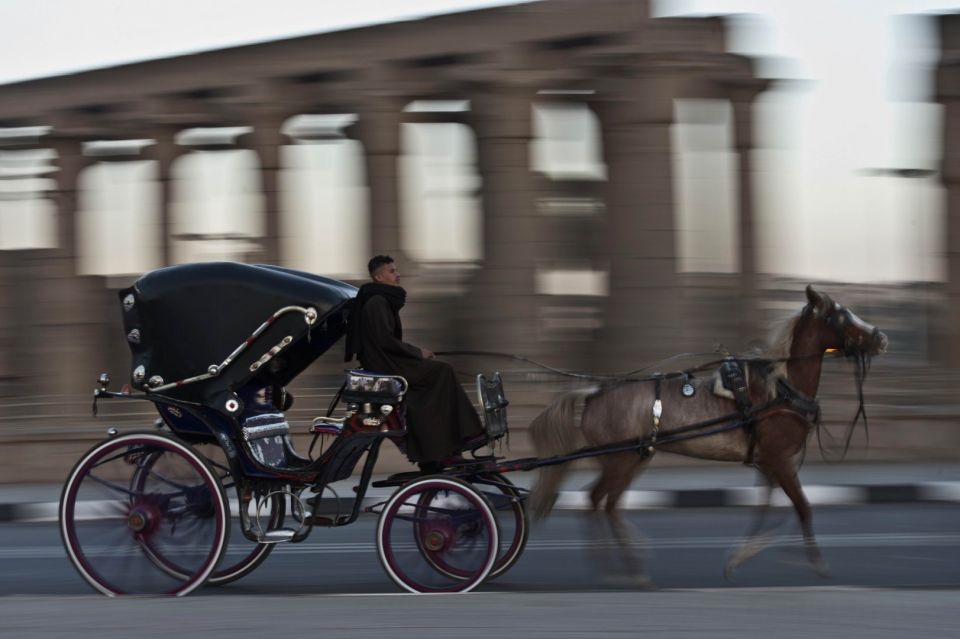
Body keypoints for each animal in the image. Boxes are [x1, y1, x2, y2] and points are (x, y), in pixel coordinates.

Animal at [528, 288, 888, 588]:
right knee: (600, 502)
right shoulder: (780, 460)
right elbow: (802, 507)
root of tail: (592, 394)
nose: (882, 337)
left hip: (633, 458)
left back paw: (622, 562)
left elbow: (766, 509)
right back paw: (626, 568)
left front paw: (740, 557)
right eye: (842, 315)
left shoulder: (769, 462)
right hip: (621, 460)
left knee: (603, 503)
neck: (779, 389)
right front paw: (815, 563)